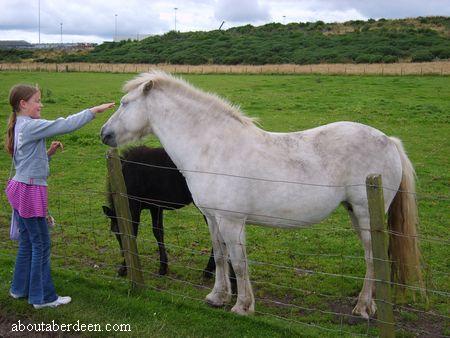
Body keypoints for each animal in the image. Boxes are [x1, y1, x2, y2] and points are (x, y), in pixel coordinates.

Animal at [103, 145, 217, 278]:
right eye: (114, 231)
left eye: (118, 231)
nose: (122, 255)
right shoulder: (155, 207)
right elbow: (158, 231)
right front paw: (163, 267)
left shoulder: (136, 206)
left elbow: (134, 232)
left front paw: (125, 268)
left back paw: (209, 270)